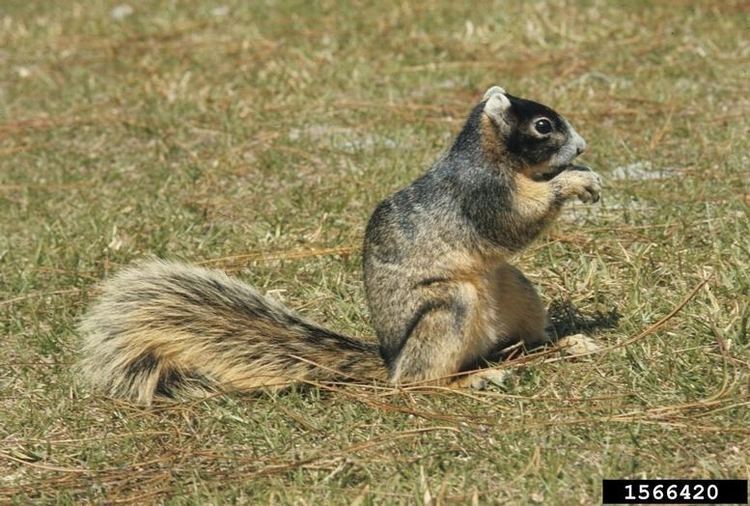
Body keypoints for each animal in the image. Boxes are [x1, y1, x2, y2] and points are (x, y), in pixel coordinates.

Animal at [78, 86, 604, 404]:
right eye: (542, 125)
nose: (581, 147)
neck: (490, 154)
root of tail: (389, 360)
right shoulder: (481, 193)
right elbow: (515, 222)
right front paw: (574, 182)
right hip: (446, 311)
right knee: (420, 381)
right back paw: (475, 377)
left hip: (516, 292)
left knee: (522, 340)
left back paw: (567, 342)